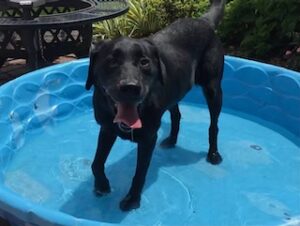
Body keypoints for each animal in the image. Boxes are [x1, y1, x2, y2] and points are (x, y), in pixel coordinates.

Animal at [86, 0, 225, 212]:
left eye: (144, 62)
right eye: (112, 61)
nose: (131, 87)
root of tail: (204, 20)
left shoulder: (148, 139)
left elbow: (139, 173)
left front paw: (132, 199)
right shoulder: (107, 128)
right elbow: (96, 163)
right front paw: (101, 185)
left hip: (213, 89)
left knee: (213, 126)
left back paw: (213, 154)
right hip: (174, 92)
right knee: (176, 114)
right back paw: (172, 140)